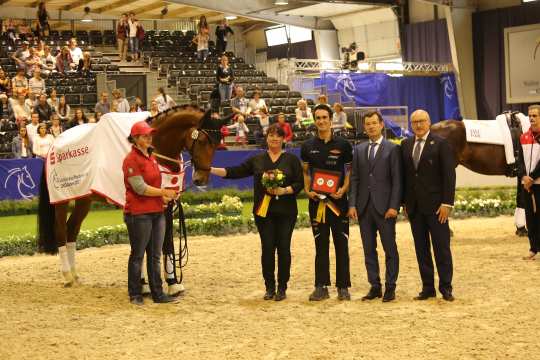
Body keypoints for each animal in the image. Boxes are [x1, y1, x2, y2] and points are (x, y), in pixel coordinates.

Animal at [38, 105, 224, 290]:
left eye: (217, 144)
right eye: (202, 141)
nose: (201, 179)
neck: (155, 150)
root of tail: (54, 144)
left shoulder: (168, 203)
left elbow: (166, 240)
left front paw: (171, 282)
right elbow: (144, 241)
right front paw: (146, 283)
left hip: (84, 199)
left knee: (72, 229)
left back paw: (75, 275)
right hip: (61, 200)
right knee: (60, 230)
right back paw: (67, 276)